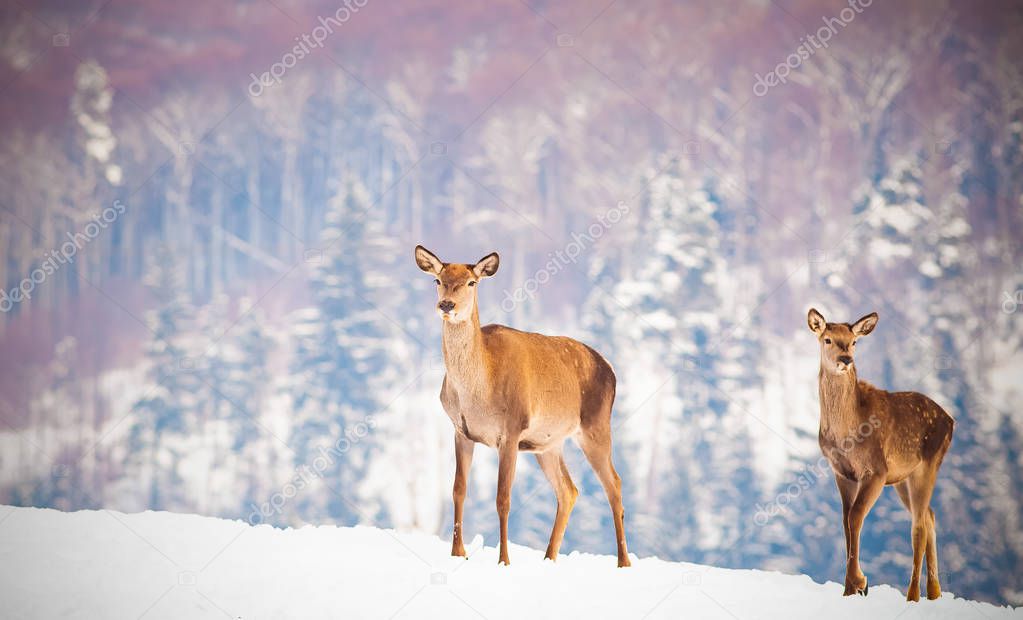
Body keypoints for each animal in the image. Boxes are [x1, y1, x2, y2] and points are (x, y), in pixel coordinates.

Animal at [415, 244, 630, 568]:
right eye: (437, 280)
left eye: (472, 282)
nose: (447, 305)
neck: (477, 394)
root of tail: (610, 369)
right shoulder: (461, 431)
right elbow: (458, 490)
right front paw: (458, 553)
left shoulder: (511, 430)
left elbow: (503, 498)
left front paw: (504, 560)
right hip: (548, 443)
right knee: (569, 490)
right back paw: (549, 557)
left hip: (596, 426)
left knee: (614, 485)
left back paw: (623, 562)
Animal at [806, 311, 957, 601]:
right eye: (827, 339)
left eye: (854, 341)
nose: (846, 359)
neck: (847, 434)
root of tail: (951, 420)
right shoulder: (842, 472)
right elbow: (845, 521)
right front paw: (849, 590)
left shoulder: (876, 470)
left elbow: (855, 517)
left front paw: (860, 581)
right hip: (902, 478)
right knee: (930, 515)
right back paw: (935, 593)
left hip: (928, 464)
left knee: (918, 525)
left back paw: (913, 596)